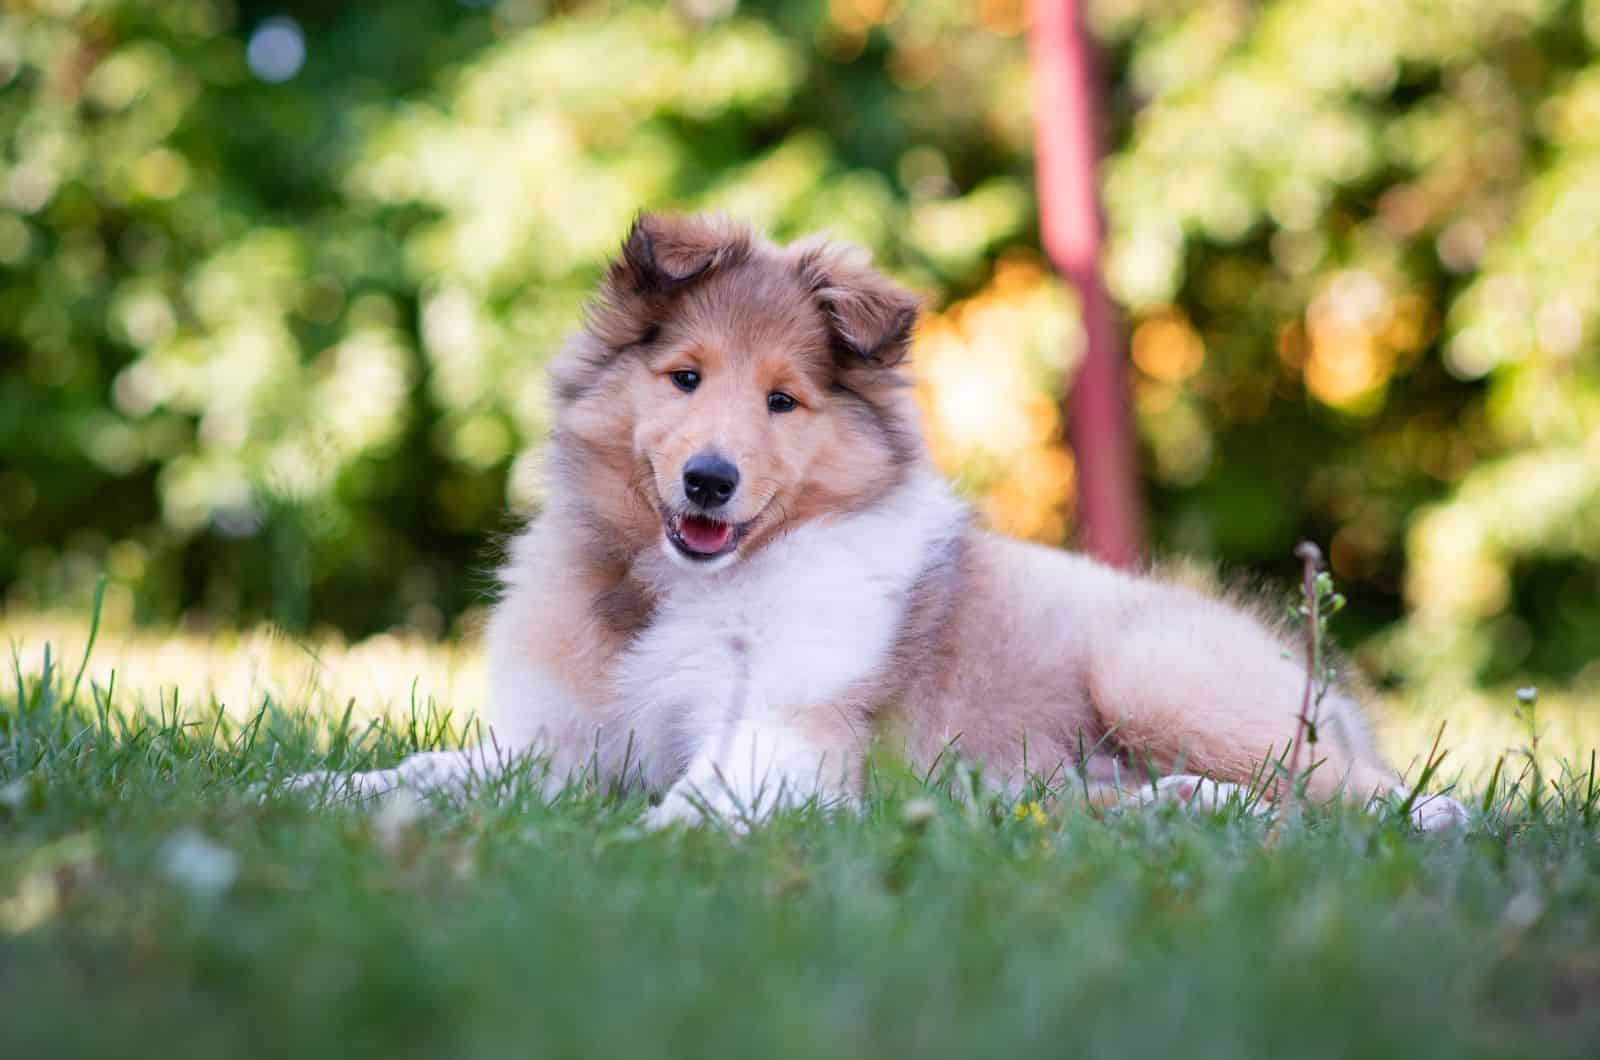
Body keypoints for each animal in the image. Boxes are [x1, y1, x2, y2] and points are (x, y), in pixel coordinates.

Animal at [300, 214, 1465, 832]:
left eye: (783, 400)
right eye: (685, 377)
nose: (709, 481)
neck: (689, 586)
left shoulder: (783, 731)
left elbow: (694, 800)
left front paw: (629, 849)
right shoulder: (562, 743)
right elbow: (429, 773)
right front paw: (309, 787)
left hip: (1159, 670)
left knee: (1356, 786)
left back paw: (1430, 820)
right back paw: (1174, 804)